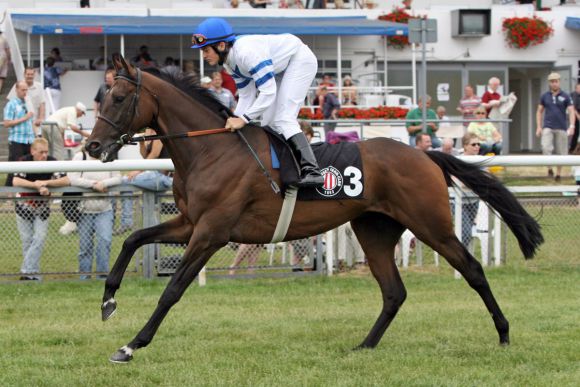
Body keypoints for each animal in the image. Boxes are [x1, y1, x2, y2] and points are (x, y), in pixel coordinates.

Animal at [85, 55, 544, 364]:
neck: (211, 148)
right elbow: (133, 239)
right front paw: (107, 301)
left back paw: (504, 335)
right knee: (393, 291)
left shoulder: (212, 231)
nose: (91, 146)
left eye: (119, 97)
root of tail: (425, 153)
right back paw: (365, 345)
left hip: (431, 224)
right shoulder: (190, 222)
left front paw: (131, 344)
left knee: (473, 270)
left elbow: (173, 290)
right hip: (375, 229)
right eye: (100, 97)